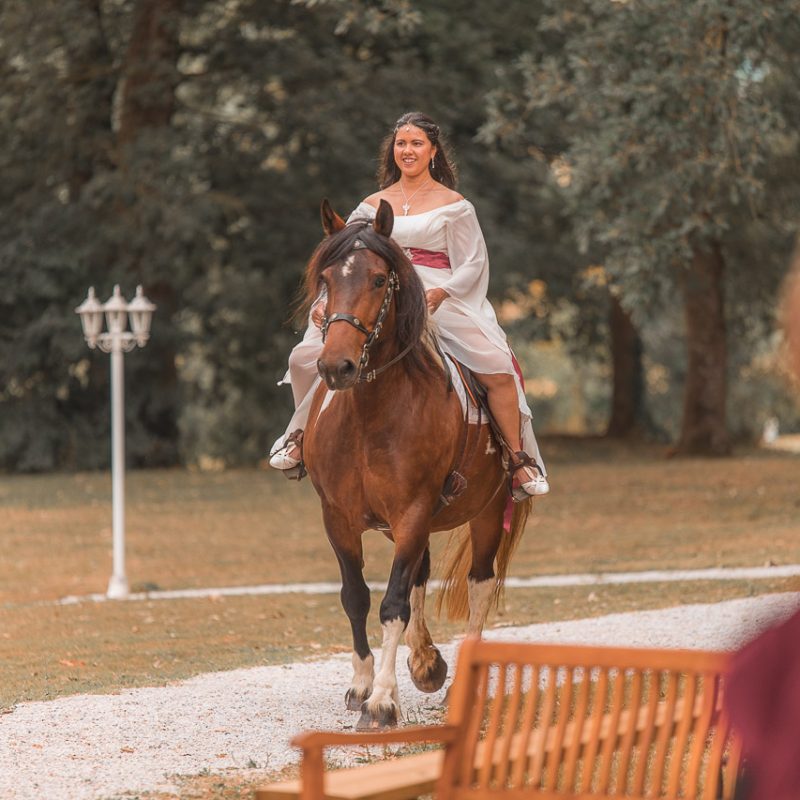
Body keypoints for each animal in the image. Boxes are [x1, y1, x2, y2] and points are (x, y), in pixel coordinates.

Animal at [300, 198, 532, 729]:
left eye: (378, 280)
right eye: (326, 277)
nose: (335, 366)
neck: (370, 414)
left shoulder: (412, 511)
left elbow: (392, 604)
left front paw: (383, 701)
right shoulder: (338, 517)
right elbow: (358, 596)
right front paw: (364, 685)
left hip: (487, 513)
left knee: (479, 583)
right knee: (420, 579)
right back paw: (426, 663)